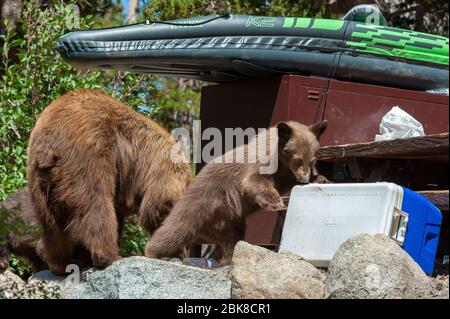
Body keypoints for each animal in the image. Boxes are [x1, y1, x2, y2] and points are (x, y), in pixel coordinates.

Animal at [26, 88, 192, 276]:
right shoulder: (164, 171)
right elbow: (161, 206)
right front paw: (175, 252)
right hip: (89, 152)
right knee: (95, 204)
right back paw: (110, 256)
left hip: (39, 180)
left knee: (51, 225)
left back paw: (62, 263)